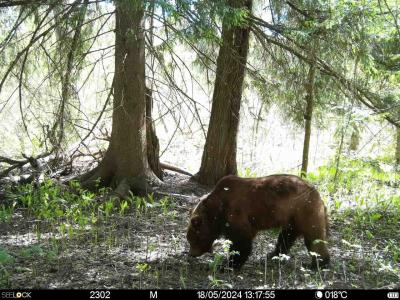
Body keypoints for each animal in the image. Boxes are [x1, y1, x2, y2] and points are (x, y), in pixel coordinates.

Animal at [186, 173, 330, 270]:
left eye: (192, 239)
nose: (191, 254)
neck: (217, 210)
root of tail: (318, 193)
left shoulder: (235, 212)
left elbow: (240, 241)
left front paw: (228, 265)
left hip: (304, 210)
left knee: (314, 237)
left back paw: (319, 263)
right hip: (292, 217)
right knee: (286, 236)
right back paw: (273, 254)